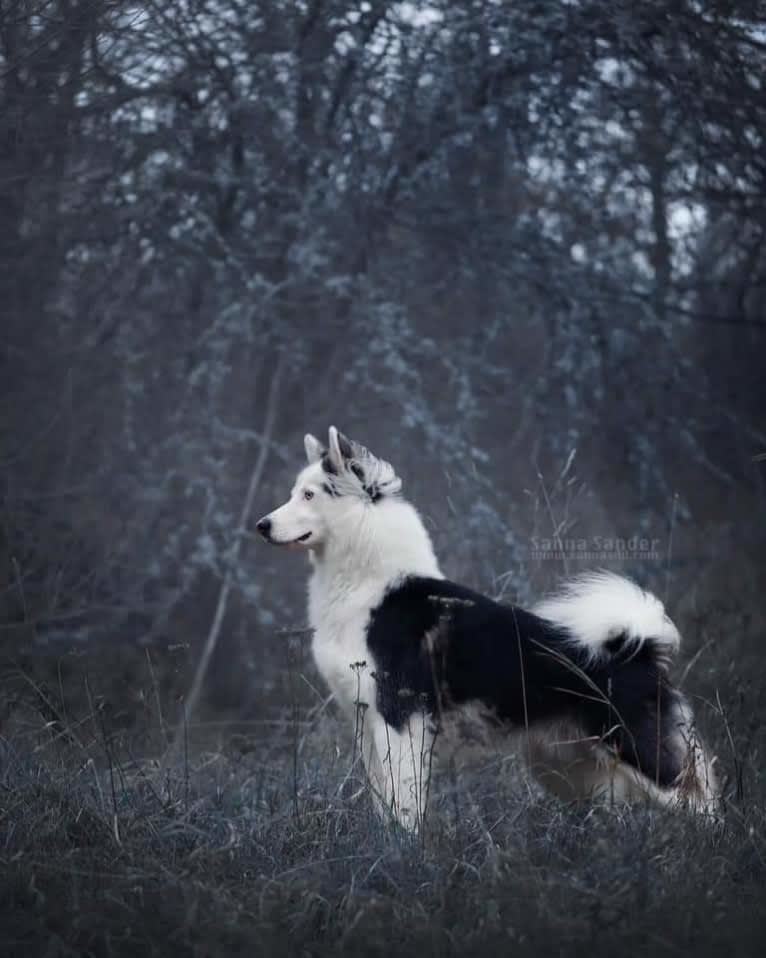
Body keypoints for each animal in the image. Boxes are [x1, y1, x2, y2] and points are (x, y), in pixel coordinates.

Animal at [258, 424, 720, 828]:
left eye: (308, 494)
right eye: (295, 492)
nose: (261, 525)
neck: (371, 584)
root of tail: (638, 647)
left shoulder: (401, 719)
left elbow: (404, 803)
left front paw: (404, 852)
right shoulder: (368, 722)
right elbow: (382, 799)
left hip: (637, 754)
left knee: (701, 805)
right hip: (570, 767)